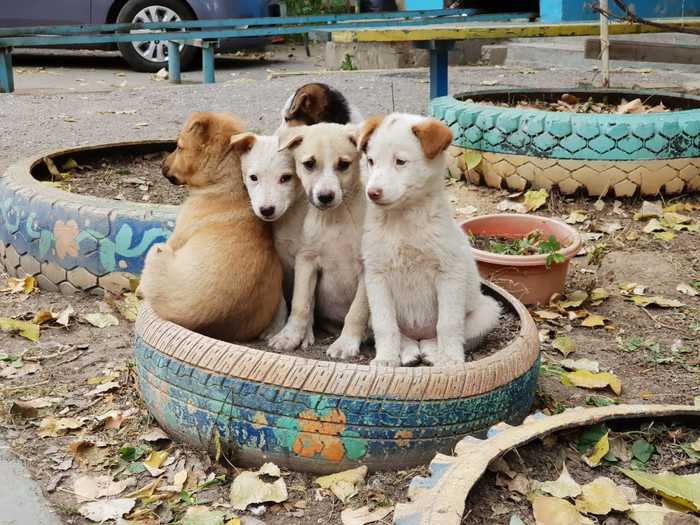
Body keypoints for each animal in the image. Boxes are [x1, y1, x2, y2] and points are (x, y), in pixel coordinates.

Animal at [268, 122, 370, 360]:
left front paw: (346, 343)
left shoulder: (368, 267)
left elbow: (357, 311)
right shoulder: (307, 260)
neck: (335, 218)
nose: (325, 196)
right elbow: (301, 303)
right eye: (309, 164)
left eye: (343, 165)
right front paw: (290, 336)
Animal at [358, 113, 500, 368]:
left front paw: (451, 360)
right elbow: (386, 326)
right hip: (370, 315)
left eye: (400, 162)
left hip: (487, 311)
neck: (403, 221)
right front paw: (385, 359)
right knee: (400, 334)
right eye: (371, 161)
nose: (372, 193)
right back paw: (407, 352)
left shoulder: (450, 273)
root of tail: (419, 337)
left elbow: (448, 324)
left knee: (447, 334)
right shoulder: (376, 277)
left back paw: (434, 352)